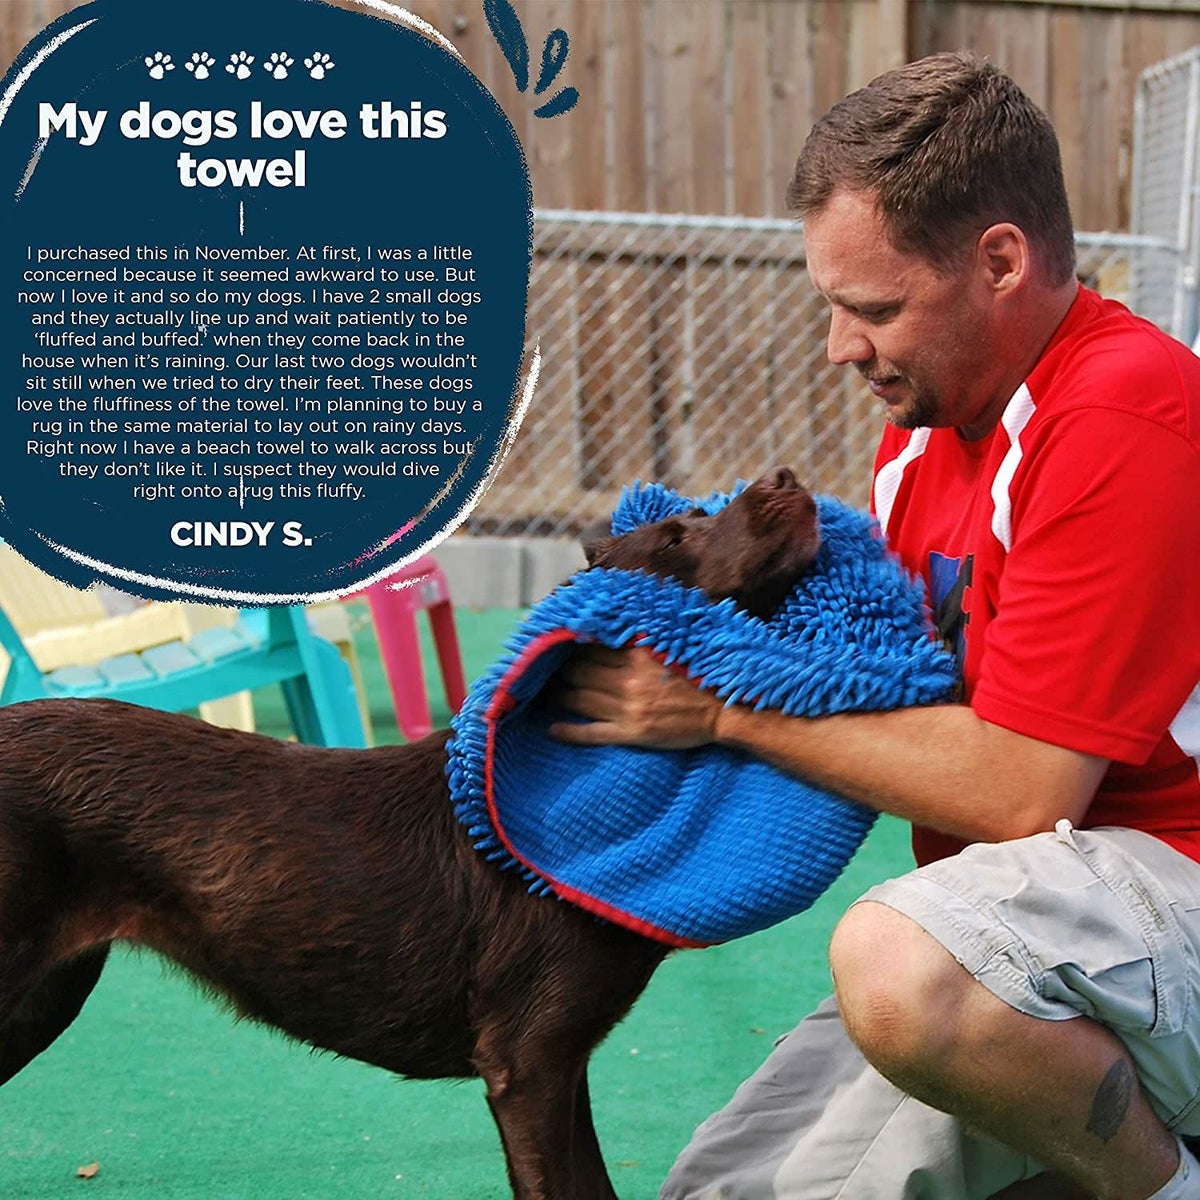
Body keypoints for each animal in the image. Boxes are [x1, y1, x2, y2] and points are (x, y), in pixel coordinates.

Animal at [0, 467, 819, 1200]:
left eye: (697, 515)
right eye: (678, 538)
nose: (786, 478)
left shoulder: (558, 1065)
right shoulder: (529, 1063)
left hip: (49, 992)